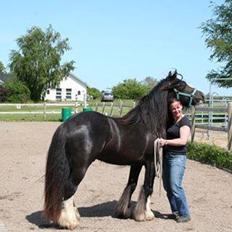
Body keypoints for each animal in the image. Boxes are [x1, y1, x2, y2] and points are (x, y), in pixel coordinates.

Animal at [43, 70, 203, 229]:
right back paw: (69, 221)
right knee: (69, 188)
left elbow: (131, 185)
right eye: (181, 85)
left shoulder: (136, 163)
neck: (149, 124)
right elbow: (148, 187)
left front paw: (124, 212)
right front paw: (145, 215)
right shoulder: (150, 162)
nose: (201, 96)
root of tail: (68, 124)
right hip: (80, 167)